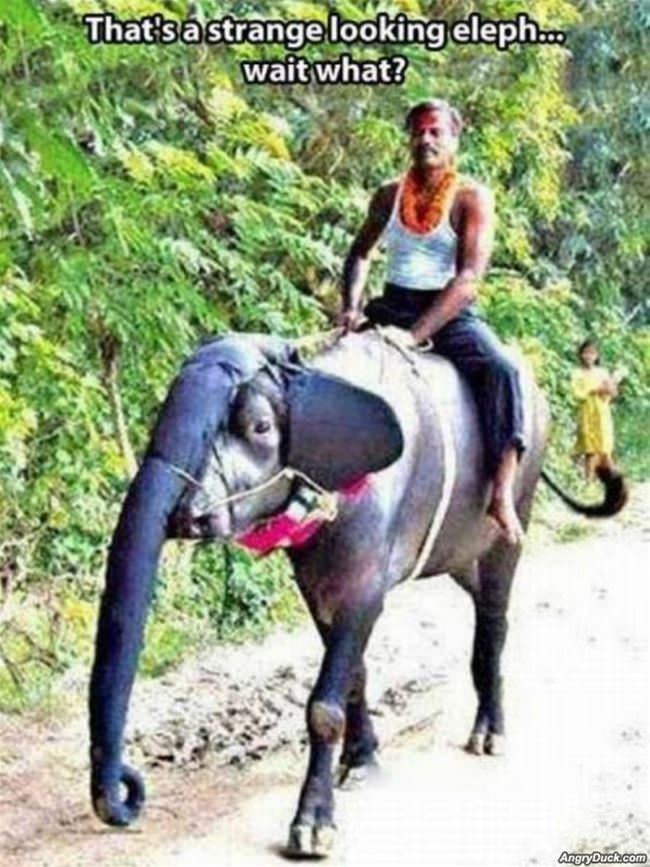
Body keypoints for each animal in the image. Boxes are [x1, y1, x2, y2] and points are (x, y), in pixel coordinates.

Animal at [88, 331, 627, 856]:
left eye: (259, 427)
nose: (129, 790)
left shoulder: (367, 576)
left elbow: (324, 704)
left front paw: (312, 827)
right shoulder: (314, 584)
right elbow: (353, 672)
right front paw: (362, 762)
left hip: (516, 510)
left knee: (494, 616)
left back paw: (489, 733)